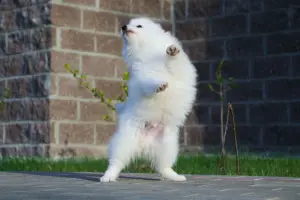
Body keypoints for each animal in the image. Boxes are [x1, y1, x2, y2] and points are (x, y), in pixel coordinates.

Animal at [99, 17, 198, 183]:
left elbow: (174, 62)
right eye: (127, 25)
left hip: (168, 146)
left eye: (138, 26)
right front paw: (159, 85)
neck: (147, 49)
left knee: (163, 167)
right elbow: (150, 82)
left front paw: (172, 52)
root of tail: (145, 145)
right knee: (116, 162)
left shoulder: (179, 70)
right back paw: (108, 176)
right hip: (125, 141)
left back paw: (175, 176)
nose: (123, 27)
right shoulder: (143, 76)